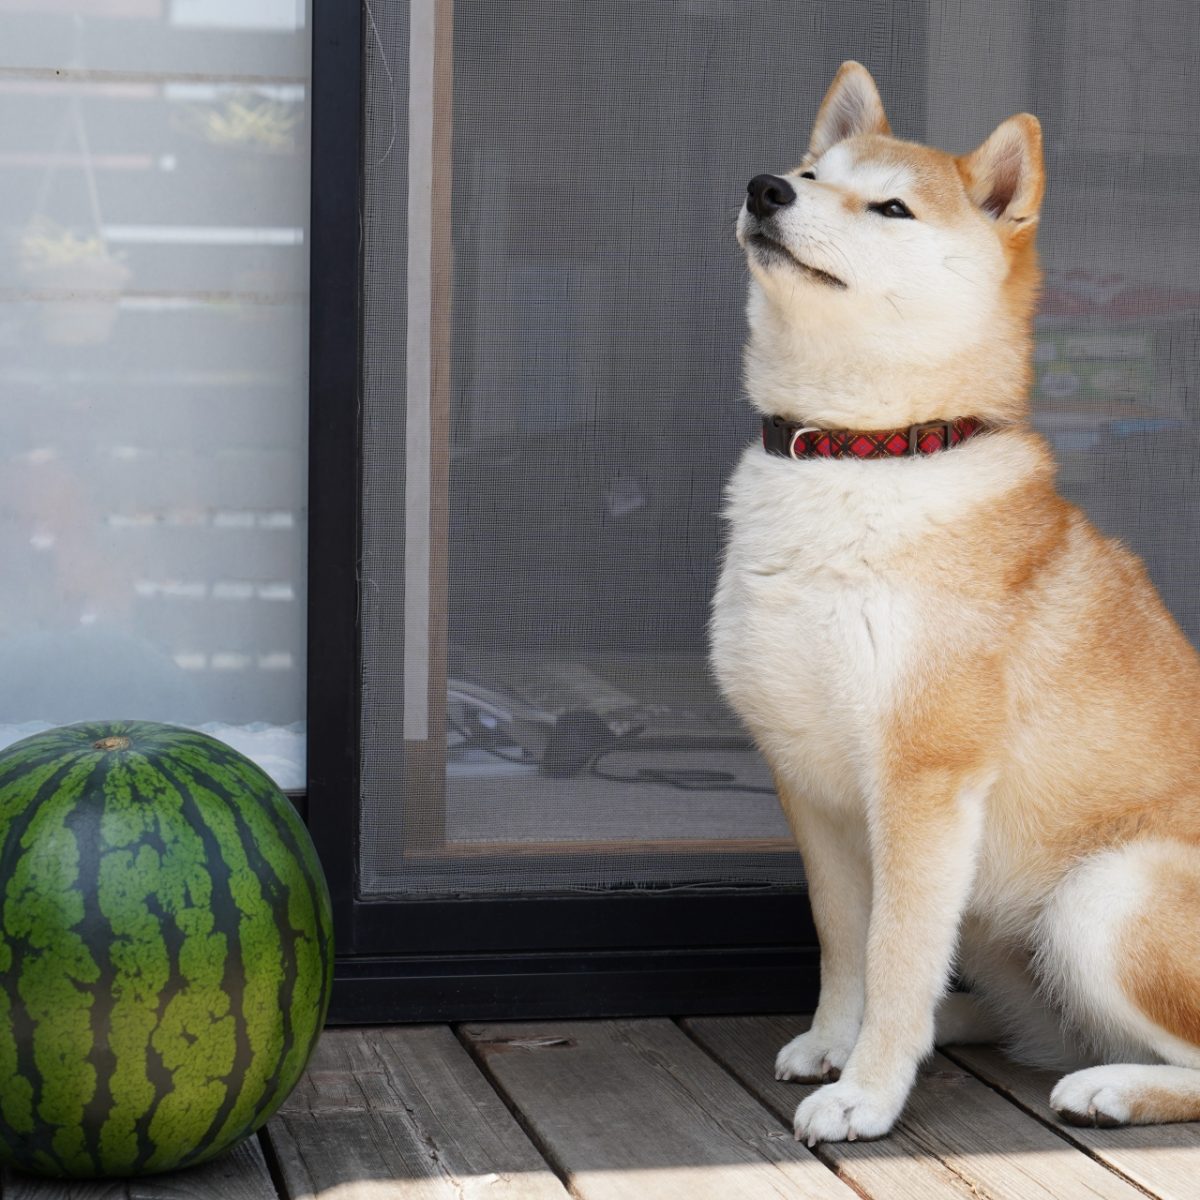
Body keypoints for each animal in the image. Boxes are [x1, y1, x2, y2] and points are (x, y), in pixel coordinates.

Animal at [705, 58, 1200, 1142]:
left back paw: (1111, 1087)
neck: (857, 458)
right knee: (1042, 1022)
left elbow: (894, 957)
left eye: (891, 206)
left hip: (1102, 895)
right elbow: (846, 943)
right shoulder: (811, 784)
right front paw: (837, 1043)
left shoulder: (923, 784)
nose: (767, 187)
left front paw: (867, 1092)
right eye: (814, 171)